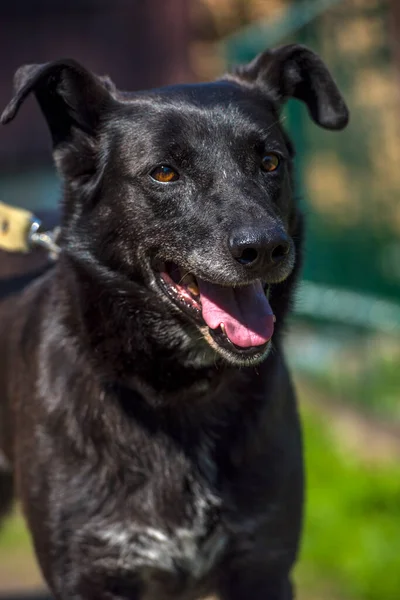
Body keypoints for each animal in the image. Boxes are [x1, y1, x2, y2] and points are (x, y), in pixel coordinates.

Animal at [0, 44, 346, 596]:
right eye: (164, 173)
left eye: (270, 162)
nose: (265, 247)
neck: (180, 392)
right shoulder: (91, 574)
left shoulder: (262, 566)